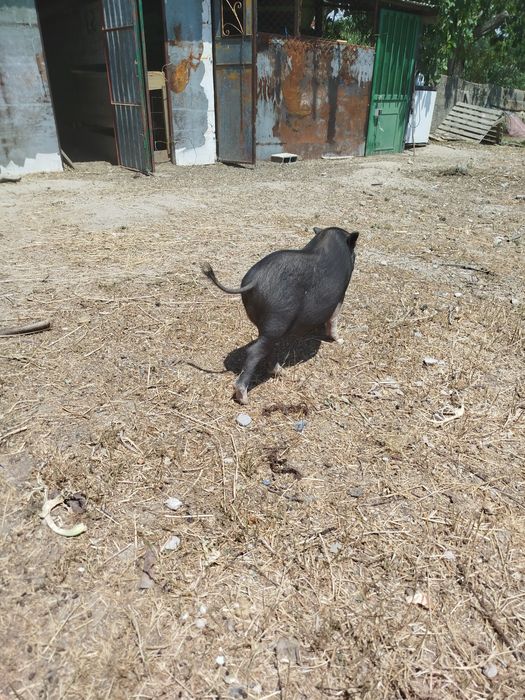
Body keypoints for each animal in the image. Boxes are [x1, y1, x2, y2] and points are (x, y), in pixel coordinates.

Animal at [201, 226, 359, 404]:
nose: (356, 256)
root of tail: (254, 281)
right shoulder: (341, 295)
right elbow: (334, 318)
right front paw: (340, 341)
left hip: (269, 326)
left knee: (265, 348)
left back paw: (281, 372)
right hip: (277, 320)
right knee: (255, 351)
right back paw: (245, 398)